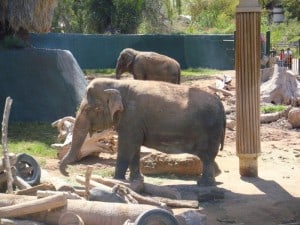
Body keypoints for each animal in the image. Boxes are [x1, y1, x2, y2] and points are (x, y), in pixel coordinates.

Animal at [59, 78, 226, 185]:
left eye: (89, 109)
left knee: (207, 157)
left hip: (211, 131)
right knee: (208, 158)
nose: (67, 173)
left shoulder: (131, 117)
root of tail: (222, 106)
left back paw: (204, 184)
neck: (118, 83)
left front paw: (117, 180)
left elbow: (127, 146)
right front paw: (136, 180)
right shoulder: (134, 122)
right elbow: (135, 148)